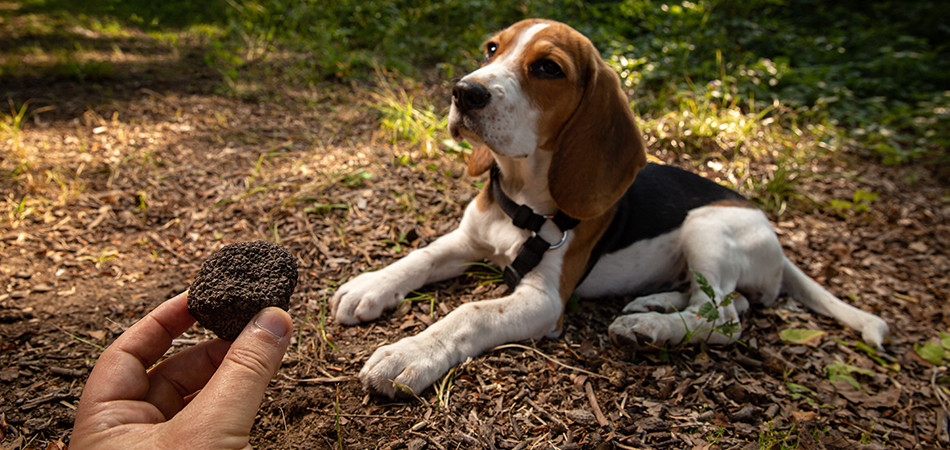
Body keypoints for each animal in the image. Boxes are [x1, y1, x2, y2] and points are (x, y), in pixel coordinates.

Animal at [330, 19, 892, 396]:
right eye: (492, 48)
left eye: (547, 68)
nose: (464, 92)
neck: (523, 196)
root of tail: (773, 237)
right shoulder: (467, 238)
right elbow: (420, 257)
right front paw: (370, 286)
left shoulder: (544, 300)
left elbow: (469, 313)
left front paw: (411, 353)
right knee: (726, 303)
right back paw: (653, 307)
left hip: (709, 228)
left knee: (726, 317)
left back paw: (650, 329)